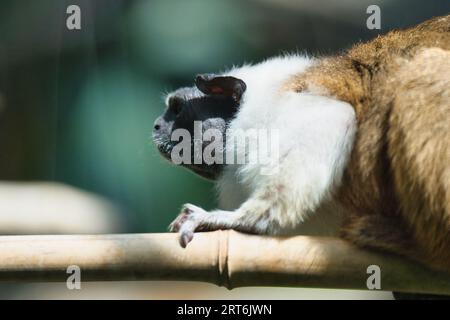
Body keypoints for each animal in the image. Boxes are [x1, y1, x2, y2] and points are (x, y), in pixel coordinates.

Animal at [153, 15, 448, 272]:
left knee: (426, 68)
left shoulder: (286, 108)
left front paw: (239, 221)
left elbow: (334, 117)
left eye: (177, 109)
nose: (156, 126)